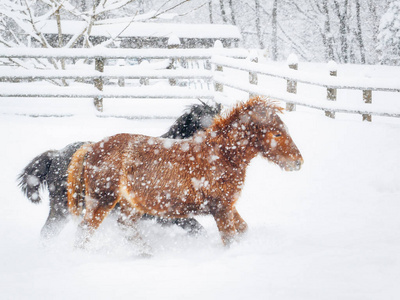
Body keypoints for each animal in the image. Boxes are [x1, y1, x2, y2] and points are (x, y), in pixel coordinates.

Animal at [68, 96, 304, 251]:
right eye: (276, 133)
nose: (298, 162)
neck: (220, 155)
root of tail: (92, 147)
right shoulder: (220, 208)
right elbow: (230, 239)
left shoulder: (228, 205)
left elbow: (243, 229)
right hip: (102, 200)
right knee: (85, 230)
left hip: (131, 205)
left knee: (124, 227)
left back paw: (147, 253)